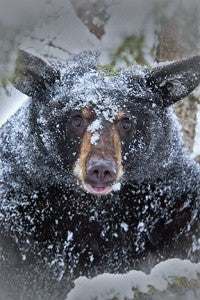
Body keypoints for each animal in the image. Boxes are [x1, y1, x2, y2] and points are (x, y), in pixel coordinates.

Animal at [0, 50, 200, 298]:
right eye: (77, 119)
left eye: (126, 122)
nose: (101, 169)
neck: (97, 209)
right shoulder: (20, 213)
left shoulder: (170, 204)